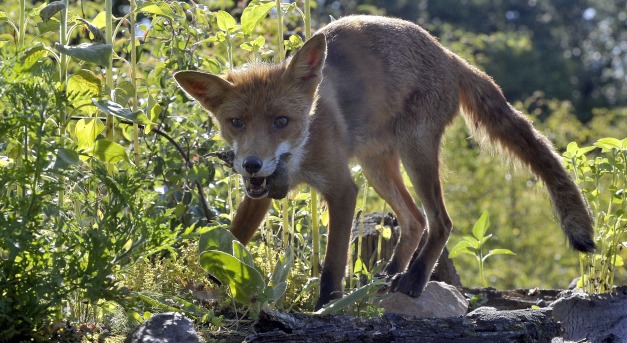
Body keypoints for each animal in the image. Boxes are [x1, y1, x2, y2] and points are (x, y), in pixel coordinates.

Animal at [174, 15, 596, 312]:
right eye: (236, 123)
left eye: (282, 121)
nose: (251, 164)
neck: (301, 151)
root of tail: (448, 54)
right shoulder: (259, 194)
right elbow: (231, 239)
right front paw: (207, 286)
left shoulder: (343, 189)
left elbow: (333, 262)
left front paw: (326, 306)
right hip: (378, 167)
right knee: (415, 219)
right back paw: (390, 274)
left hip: (414, 155)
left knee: (441, 221)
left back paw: (414, 280)